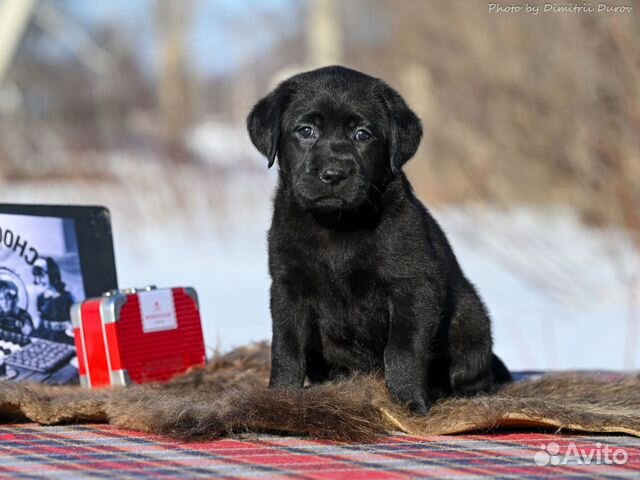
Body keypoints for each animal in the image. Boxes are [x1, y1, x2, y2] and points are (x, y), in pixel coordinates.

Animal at [245, 65, 510, 414]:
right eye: (305, 130)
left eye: (362, 135)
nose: (333, 174)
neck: (339, 225)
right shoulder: (289, 286)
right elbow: (287, 346)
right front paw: (280, 397)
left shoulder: (412, 287)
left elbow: (403, 350)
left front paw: (409, 404)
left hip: (470, 316)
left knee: (476, 370)